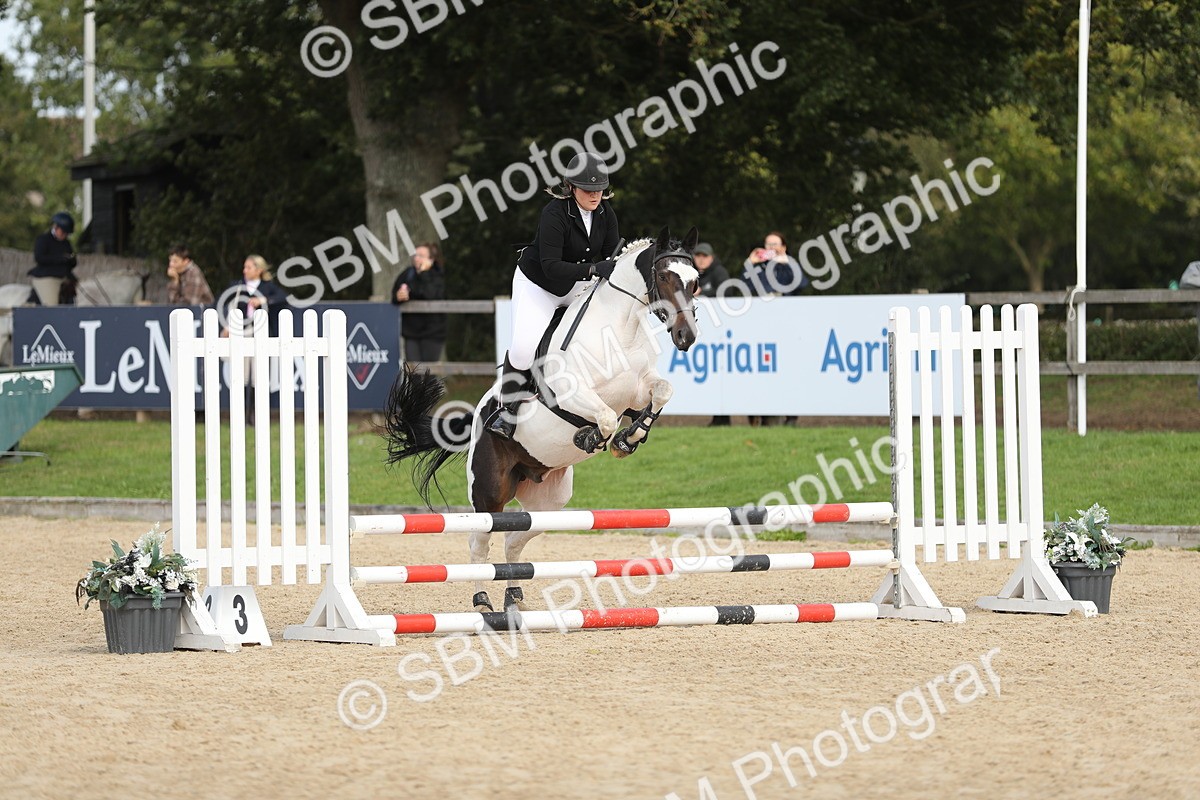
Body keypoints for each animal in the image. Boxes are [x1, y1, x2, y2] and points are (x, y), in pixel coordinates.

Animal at [382, 226, 701, 613]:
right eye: (666, 277)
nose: (686, 336)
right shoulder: (570, 392)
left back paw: (514, 596)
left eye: (695, 281)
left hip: (548, 503)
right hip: (490, 493)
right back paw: (483, 600)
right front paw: (592, 438)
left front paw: (629, 439)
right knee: (479, 541)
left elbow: (660, 393)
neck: (619, 328)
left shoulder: (637, 392)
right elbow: (605, 418)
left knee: (513, 541)